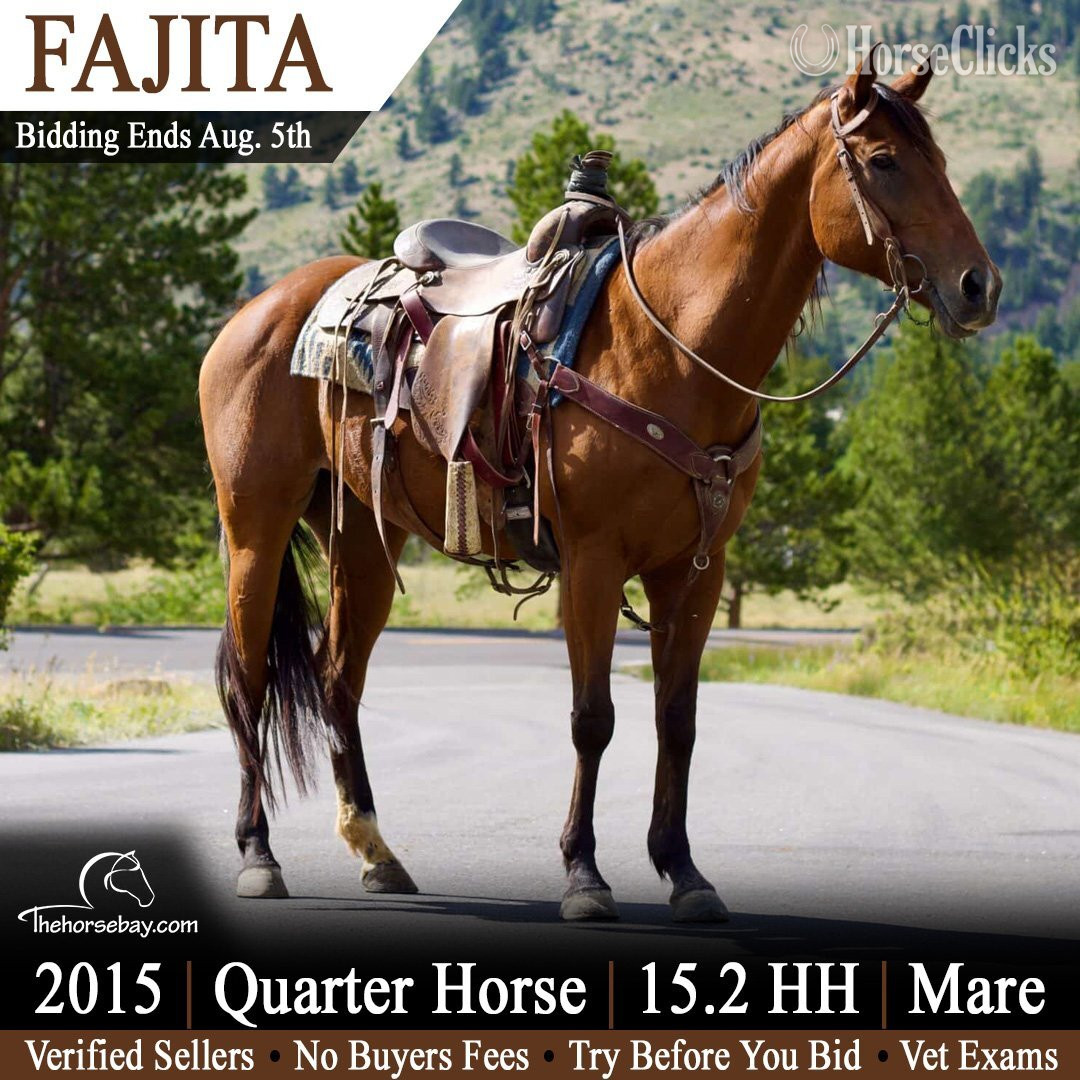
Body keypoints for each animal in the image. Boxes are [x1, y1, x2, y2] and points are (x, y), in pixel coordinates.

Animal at [199, 58, 1000, 922]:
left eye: (940, 161)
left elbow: (676, 720)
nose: (978, 286)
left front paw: (684, 871)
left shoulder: (696, 572)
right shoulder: (592, 563)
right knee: (249, 679)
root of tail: (257, 312)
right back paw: (258, 855)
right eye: (884, 162)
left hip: (364, 542)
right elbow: (594, 718)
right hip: (256, 529)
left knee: (337, 678)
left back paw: (377, 852)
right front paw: (584, 874)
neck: (672, 346)